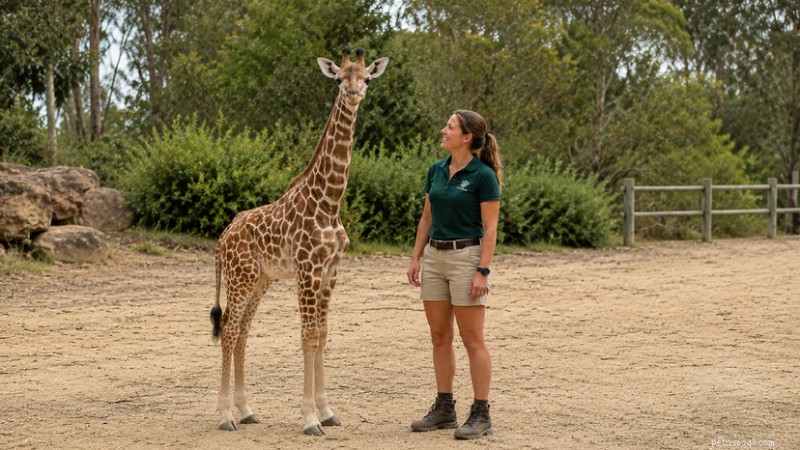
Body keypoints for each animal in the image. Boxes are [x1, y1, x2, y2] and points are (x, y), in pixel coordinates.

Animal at [210, 48, 388, 436]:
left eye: (366, 77)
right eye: (339, 79)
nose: (354, 93)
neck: (329, 202)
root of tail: (223, 236)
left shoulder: (330, 272)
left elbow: (322, 334)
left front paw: (327, 412)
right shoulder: (308, 270)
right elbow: (307, 336)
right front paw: (309, 419)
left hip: (261, 279)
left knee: (242, 330)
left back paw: (246, 410)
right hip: (242, 275)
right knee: (228, 328)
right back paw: (225, 415)